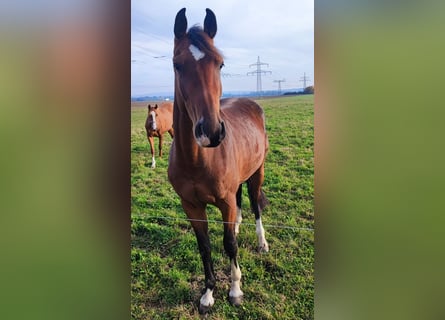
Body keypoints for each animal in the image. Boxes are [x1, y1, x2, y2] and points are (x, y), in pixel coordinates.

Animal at [168, 8, 268, 314]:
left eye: (220, 64)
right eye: (177, 64)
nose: (211, 131)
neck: (197, 160)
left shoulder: (224, 201)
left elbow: (230, 245)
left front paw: (235, 290)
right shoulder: (191, 206)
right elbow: (206, 247)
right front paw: (208, 294)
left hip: (257, 174)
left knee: (254, 206)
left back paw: (262, 242)